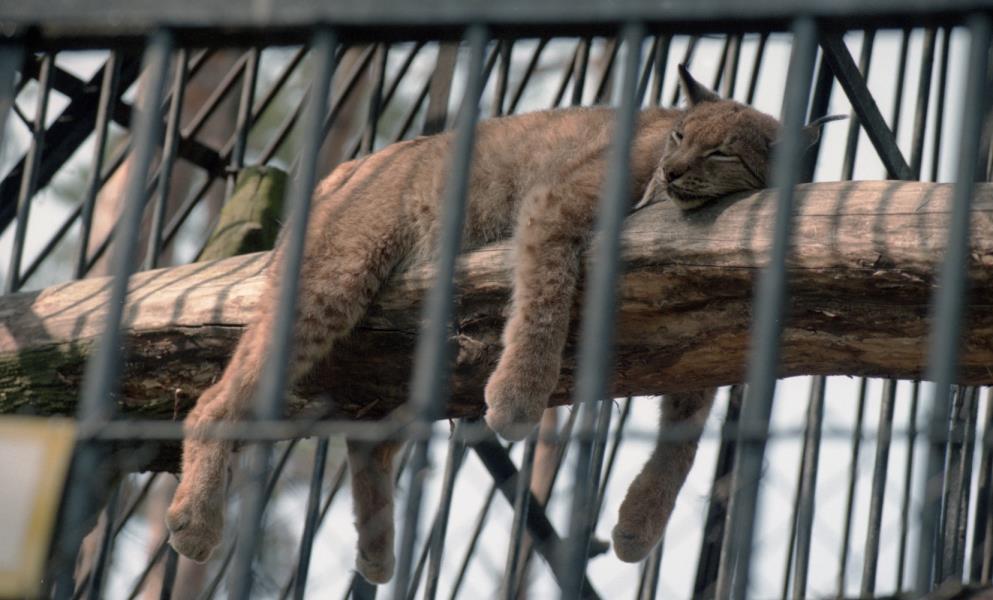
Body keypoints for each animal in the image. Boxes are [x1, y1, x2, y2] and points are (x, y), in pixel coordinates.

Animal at [164, 64, 841, 582]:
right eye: (677, 135)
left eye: (721, 151)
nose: (672, 173)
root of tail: (349, 166)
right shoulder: (553, 205)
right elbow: (545, 299)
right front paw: (518, 397)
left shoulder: (706, 324)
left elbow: (687, 434)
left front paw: (640, 522)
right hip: (337, 275)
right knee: (215, 398)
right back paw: (196, 520)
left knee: (369, 435)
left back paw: (377, 551)